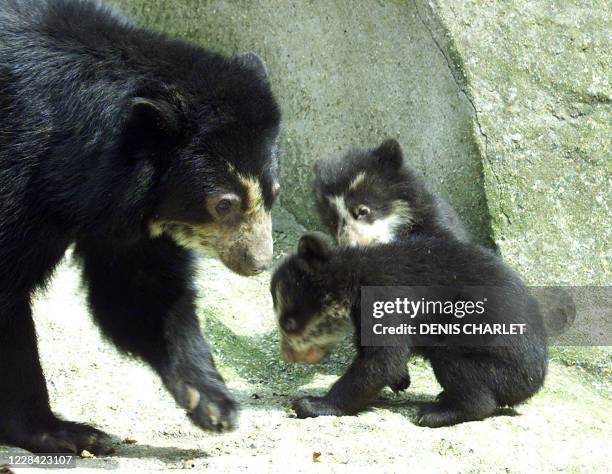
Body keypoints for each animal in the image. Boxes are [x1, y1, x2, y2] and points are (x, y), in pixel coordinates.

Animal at [0, 0, 280, 452]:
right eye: (223, 204)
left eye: (274, 192)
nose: (258, 262)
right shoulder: (19, 172)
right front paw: (61, 432)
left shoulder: (127, 211)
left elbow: (139, 288)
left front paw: (212, 401)